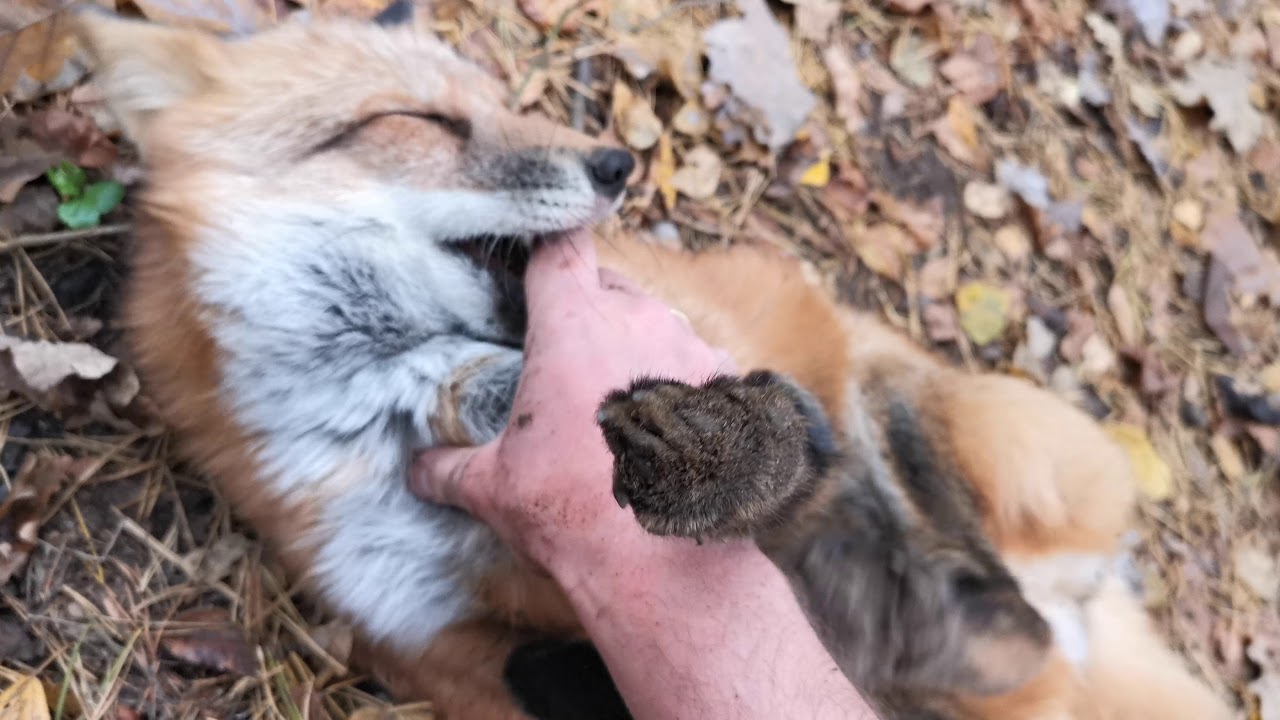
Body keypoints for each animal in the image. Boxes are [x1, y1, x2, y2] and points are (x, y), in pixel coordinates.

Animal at [69, 4, 1234, 720]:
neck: (384, 428)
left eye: (507, 105)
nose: (617, 163)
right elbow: (555, 668)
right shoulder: (445, 654)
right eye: (420, 121)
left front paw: (717, 449)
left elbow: (772, 461)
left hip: (996, 445)